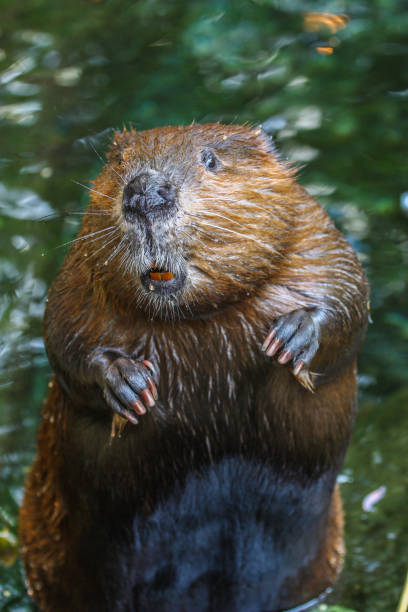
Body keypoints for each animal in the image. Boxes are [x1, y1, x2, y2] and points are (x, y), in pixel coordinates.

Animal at [19, 124, 370, 612]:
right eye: (120, 161)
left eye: (210, 159)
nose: (145, 192)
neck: (199, 317)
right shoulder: (79, 273)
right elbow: (62, 335)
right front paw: (130, 383)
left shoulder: (311, 229)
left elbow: (348, 288)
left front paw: (293, 335)